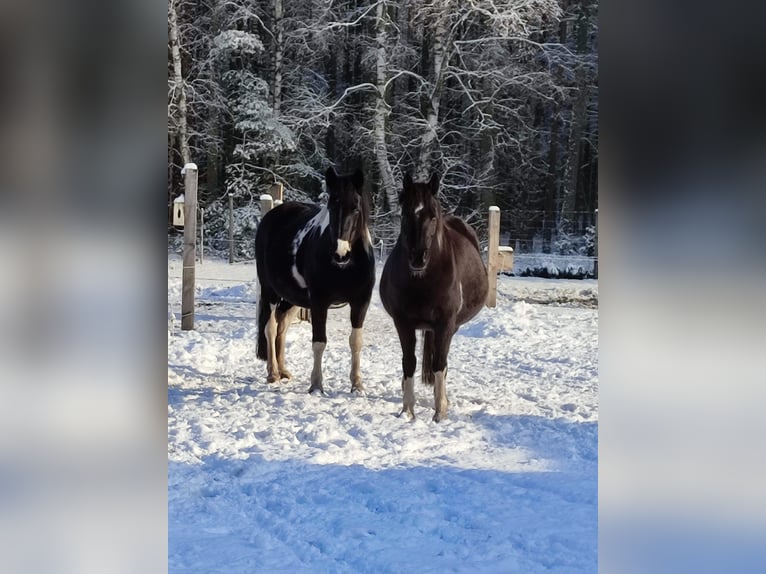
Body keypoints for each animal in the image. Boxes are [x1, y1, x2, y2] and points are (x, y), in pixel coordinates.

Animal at [255, 167, 376, 394]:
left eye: (356, 208)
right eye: (331, 205)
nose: (340, 253)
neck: (345, 267)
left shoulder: (361, 302)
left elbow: (356, 341)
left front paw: (357, 384)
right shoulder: (320, 302)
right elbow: (319, 342)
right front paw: (317, 385)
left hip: (293, 299)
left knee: (282, 327)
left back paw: (283, 370)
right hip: (270, 292)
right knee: (270, 327)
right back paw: (273, 373)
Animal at [380, 172, 488, 421]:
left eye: (432, 216)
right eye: (405, 214)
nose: (418, 258)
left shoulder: (445, 323)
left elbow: (439, 363)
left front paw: (440, 413)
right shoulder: (403, 323)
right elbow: (408, 362)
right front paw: (407, 411)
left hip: (452, 327)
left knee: (443, 361)